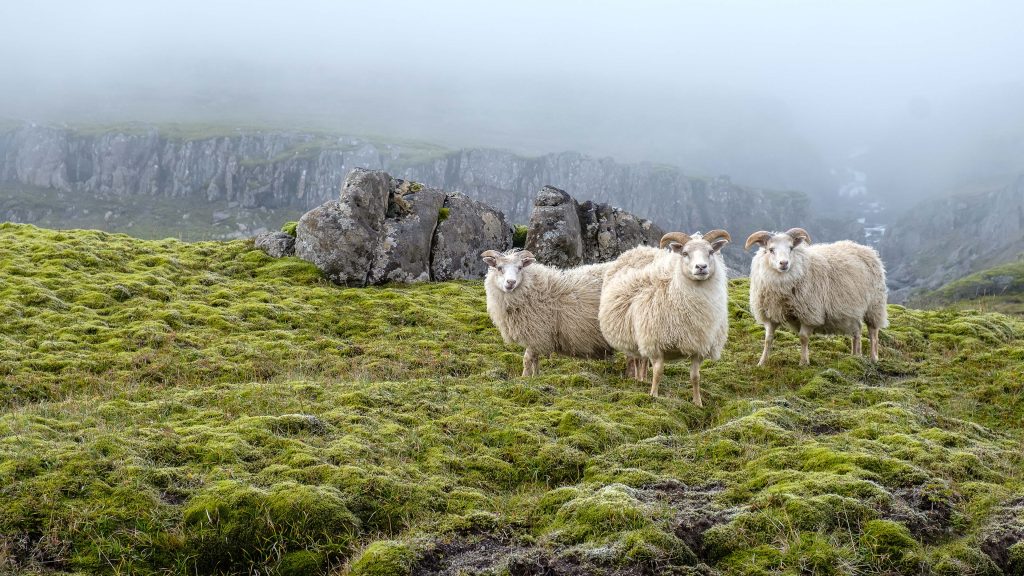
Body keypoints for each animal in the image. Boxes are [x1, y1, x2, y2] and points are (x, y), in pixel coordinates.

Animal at [480, 249, 613, 376]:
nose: (511, 282)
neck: (532, 289)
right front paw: (536, 376)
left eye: (520, 267)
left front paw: (524, 377)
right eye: (499, 267)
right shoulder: (536, 336)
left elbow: (527, 359)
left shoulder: (537, 333)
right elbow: (535, 359)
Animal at [599, 230, 732, 404]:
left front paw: (698, 403)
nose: (701, 267)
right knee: (636, 359)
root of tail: (639, 249)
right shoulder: (656, 343)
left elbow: (695, 377)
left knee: (642, 360)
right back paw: (638, 379)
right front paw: (653, 395)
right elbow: (658, 372)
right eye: (684, 253)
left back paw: (643, 379)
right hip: (634, 336)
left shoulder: (698, 346)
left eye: (710, 252)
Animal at [745, 228, 889, 366]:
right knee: (857, 331)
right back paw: (855, 356)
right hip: (852, 310)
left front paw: (803, 362)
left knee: (873, 333)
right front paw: (761, 362)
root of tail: (867, 249)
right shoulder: (771, 313)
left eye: (791, 248)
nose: (784, 263)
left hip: (874, 305)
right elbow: (768, 339)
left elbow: (803, 338)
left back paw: (873, 358)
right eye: (771, 249)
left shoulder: (809, 313)